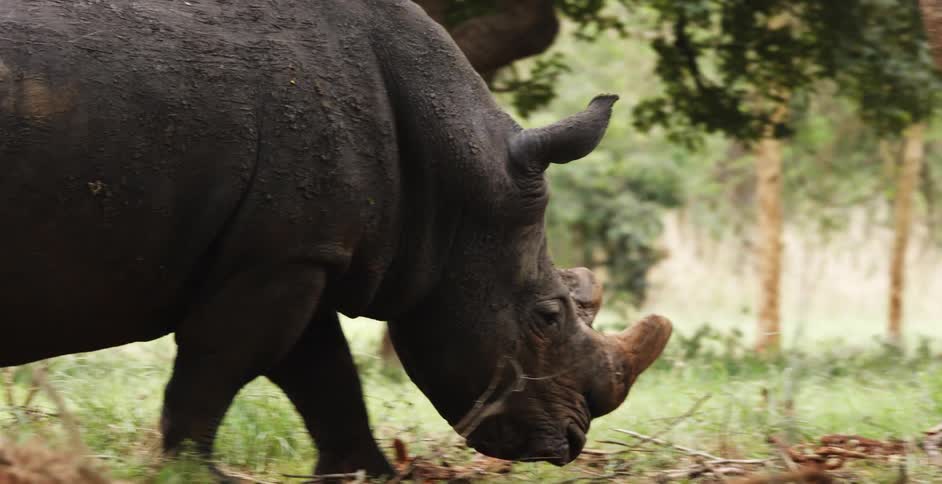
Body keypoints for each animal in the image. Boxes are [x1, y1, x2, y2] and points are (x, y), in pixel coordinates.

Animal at [0, 0, 672, 477]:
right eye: (547, 317)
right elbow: (220, 364)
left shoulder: (299, 248)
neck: (455, 179)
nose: (571, 442)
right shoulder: (278, 257)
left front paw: (372, 475)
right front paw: (189, 473)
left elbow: (323, 374)